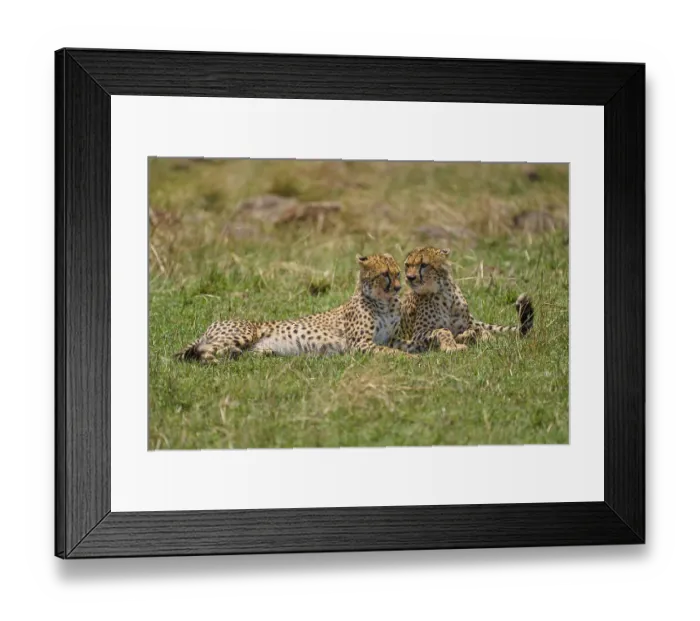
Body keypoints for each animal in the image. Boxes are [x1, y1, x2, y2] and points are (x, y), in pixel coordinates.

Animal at [174, 253, 414, 363]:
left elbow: (404, 345)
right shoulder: (361, 344)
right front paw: (413, 360)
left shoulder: (389, 338)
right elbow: (390, 352)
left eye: (397, 273)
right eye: (384, 275)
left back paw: (235, 354)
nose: (399, 287)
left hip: (258, 349)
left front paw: (419, 351)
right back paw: (215, 359)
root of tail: (213, 324)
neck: (385, 302)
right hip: (245, 332)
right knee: (204, 350)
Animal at [390, 246, 534, 353]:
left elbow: (473, 331)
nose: (410, 277)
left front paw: (467, 337)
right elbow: (443, 330)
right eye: (407, 265)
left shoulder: (465, 325)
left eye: (424, 265)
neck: (443, 293)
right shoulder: (417, 334)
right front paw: (451, 345)